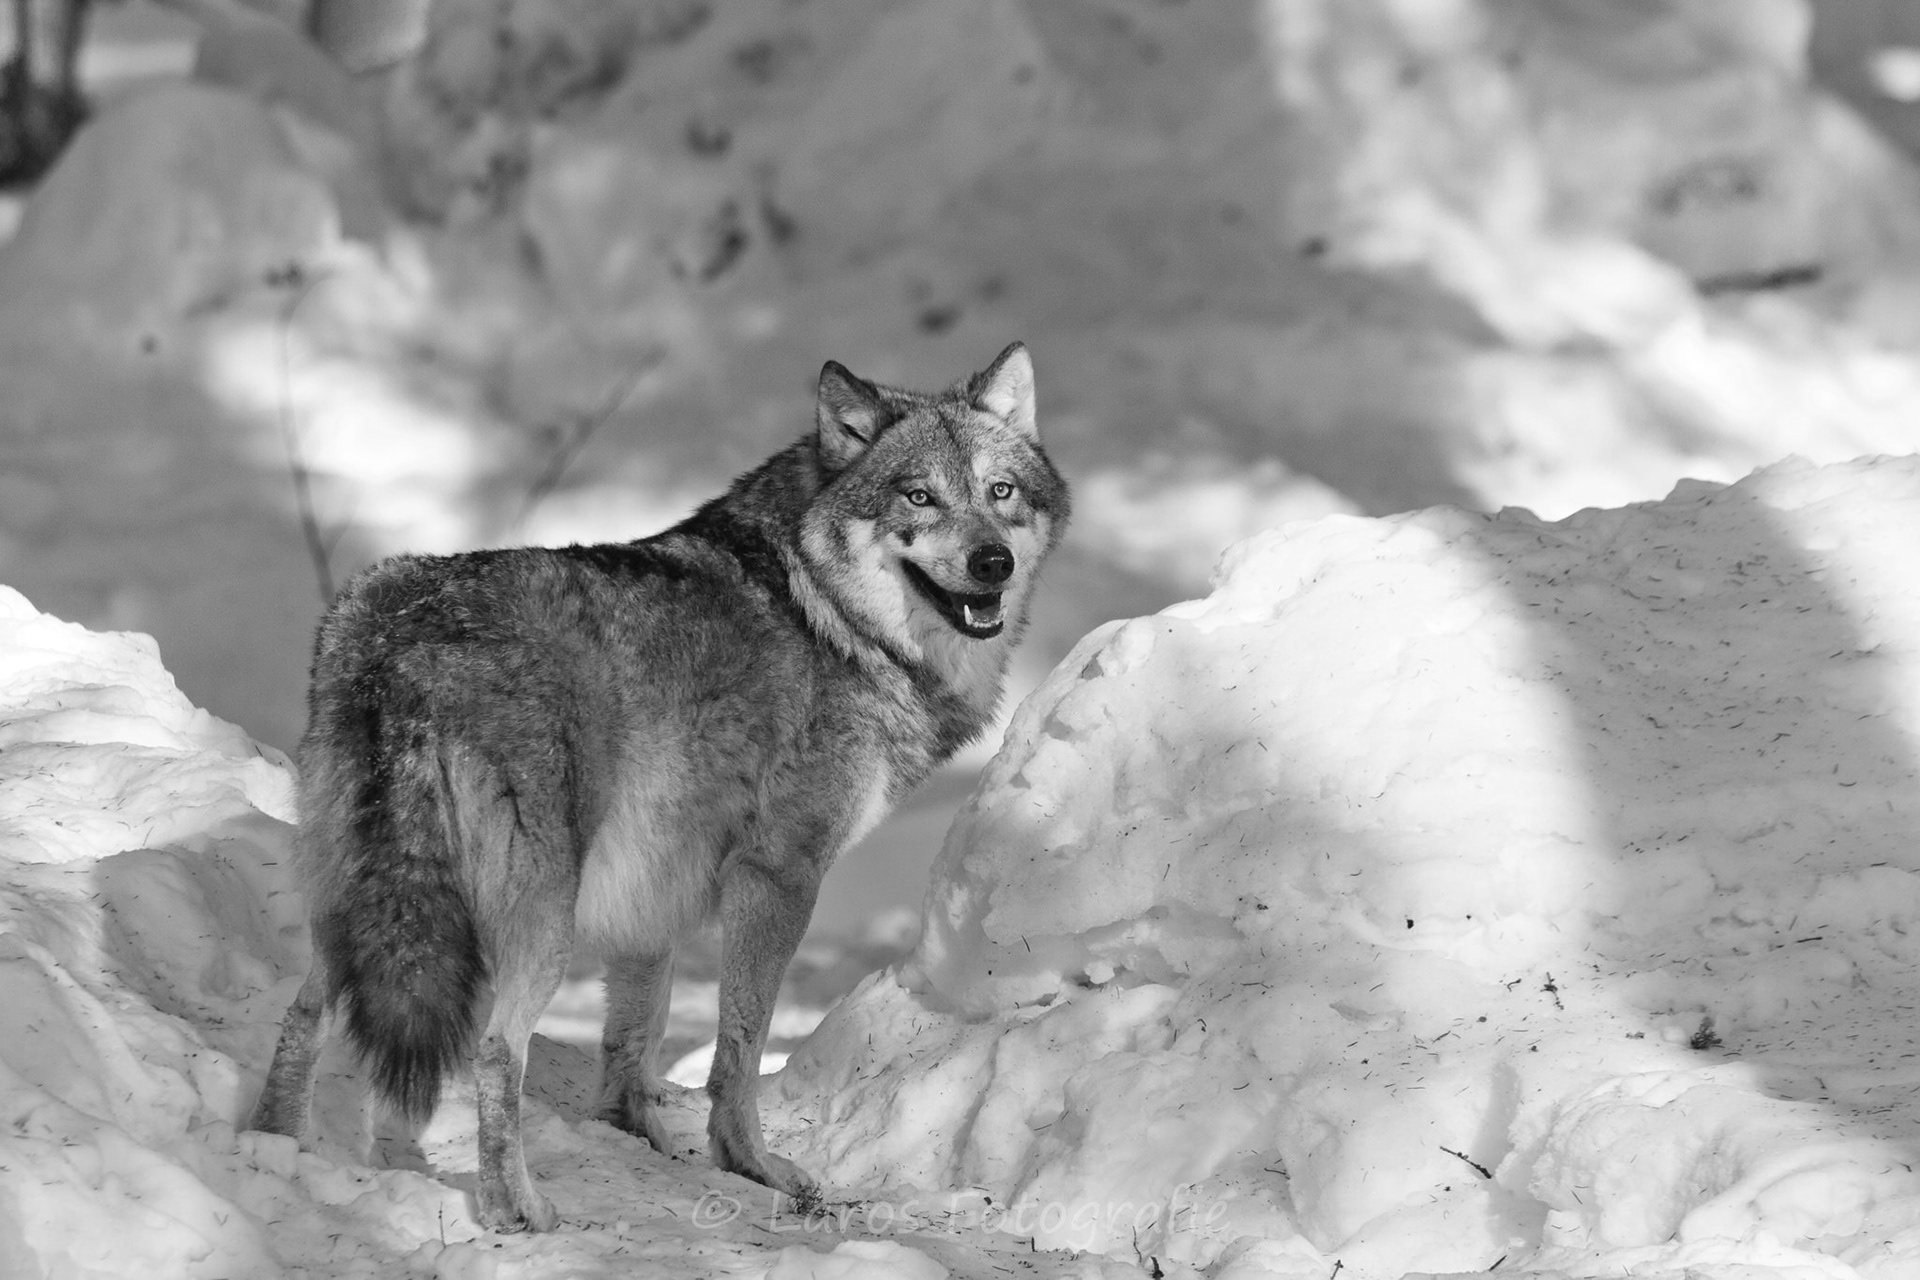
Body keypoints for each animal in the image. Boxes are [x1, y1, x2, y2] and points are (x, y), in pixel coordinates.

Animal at [247, 343, 1068, 1232]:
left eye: (1001, 492)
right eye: (919, 496)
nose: (993, 563)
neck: (830, 615)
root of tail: (400, 637)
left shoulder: (654, 885)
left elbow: (635, 1033)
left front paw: (634, 1135)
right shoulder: (779, 875)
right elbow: (739, 1048)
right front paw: (752, 1168)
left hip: (364, 904)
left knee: (304, 1014)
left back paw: (275, 1153)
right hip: (540, 918)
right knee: (496, 1051)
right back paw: (517, 1211)